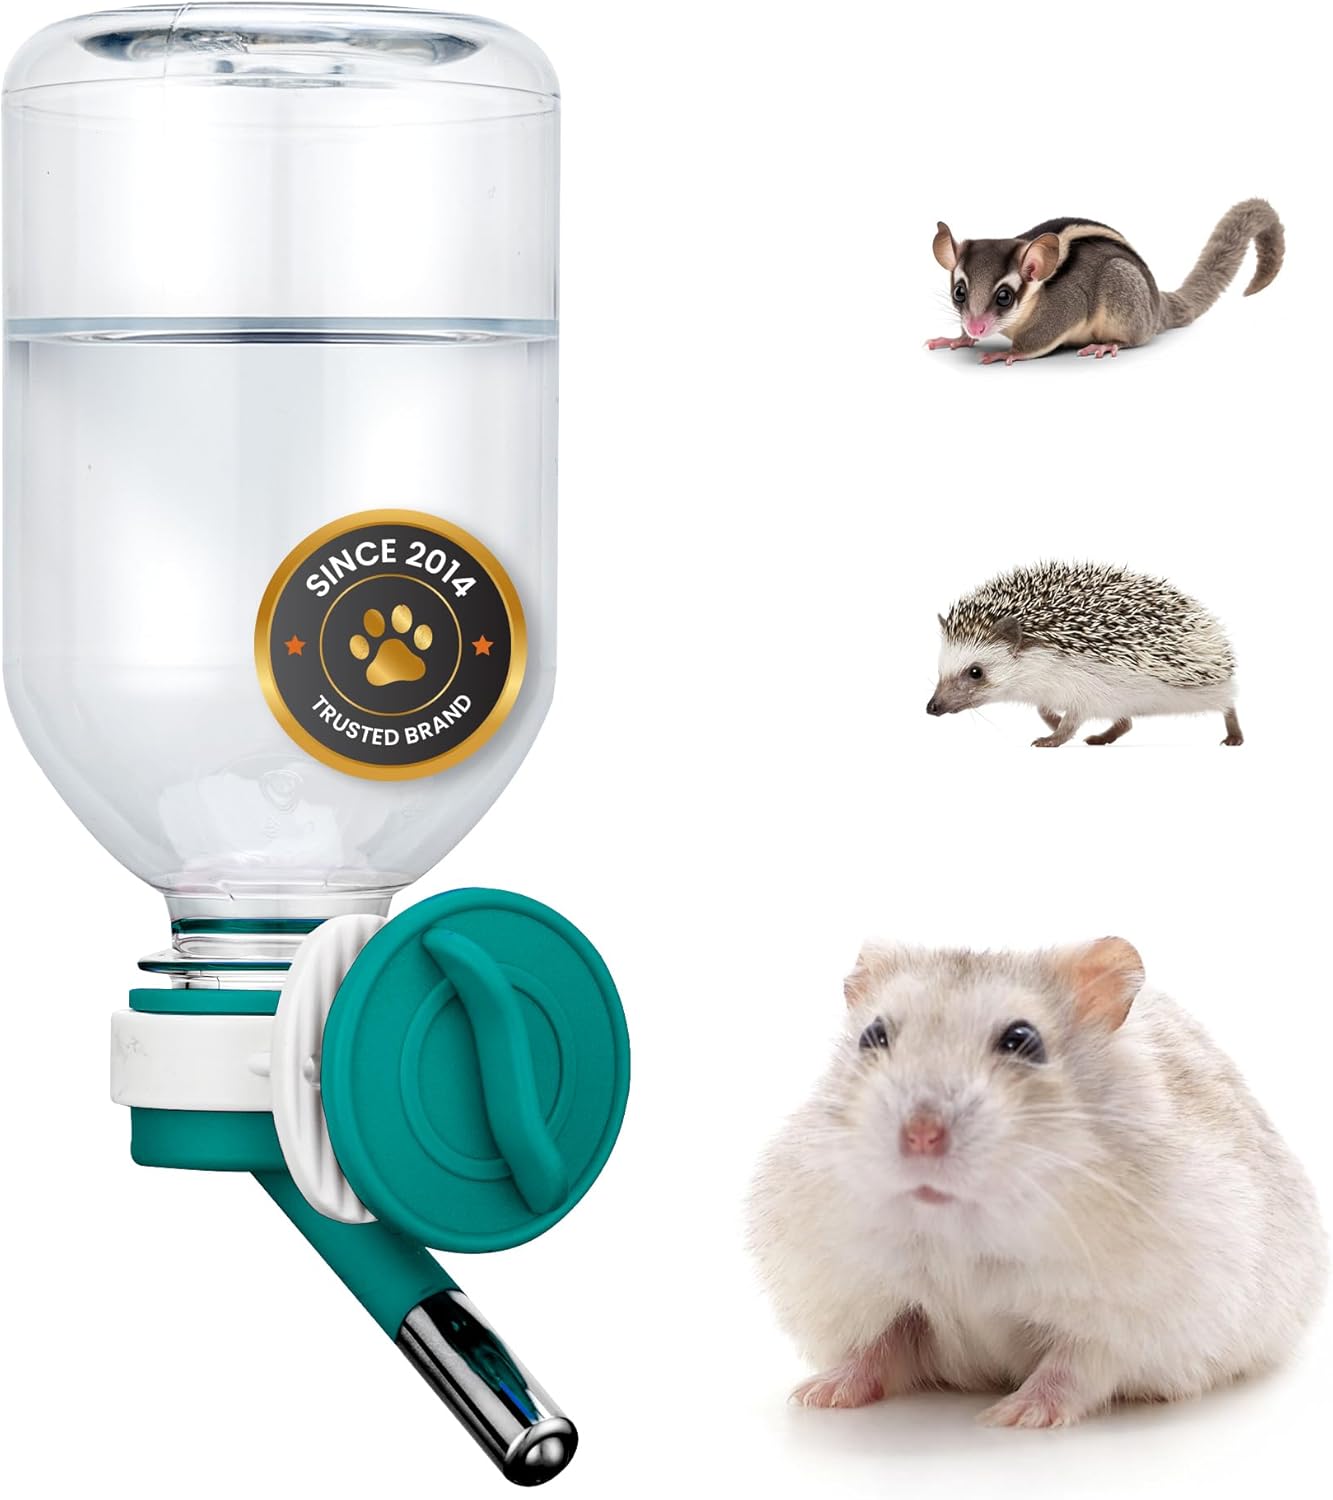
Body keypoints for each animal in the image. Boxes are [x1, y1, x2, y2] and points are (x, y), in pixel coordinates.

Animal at [746, 938, 1327, 1426]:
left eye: (1022, 1040)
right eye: (873, 1036)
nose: (921, 1135)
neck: (960, 1227)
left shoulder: (1130, 1321)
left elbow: (1073, 1368)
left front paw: (1009, 1416)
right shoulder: (874, 1294)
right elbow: (877, 1347)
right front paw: (815, 1396)